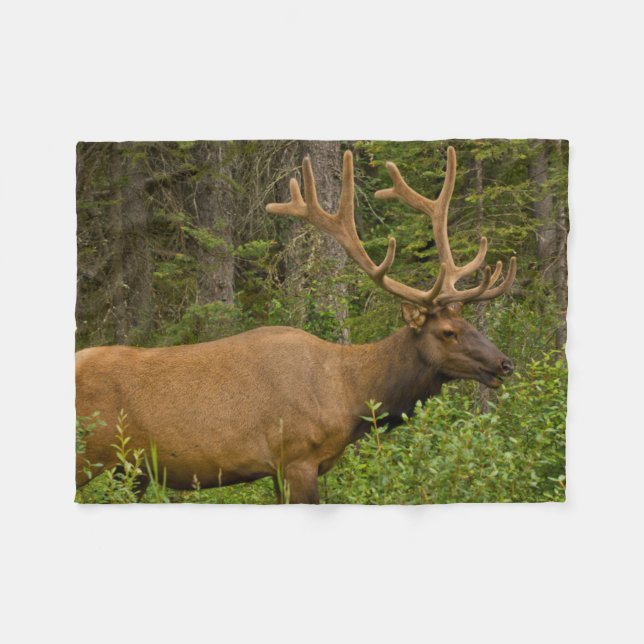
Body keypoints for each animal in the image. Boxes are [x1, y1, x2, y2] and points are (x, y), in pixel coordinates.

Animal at [75, 146, 516, 503]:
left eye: (468, 324)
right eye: (448, 332)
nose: (505, 363)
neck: (351, 395)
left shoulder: (280, 469)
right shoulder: (297, 457)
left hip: (129, 469)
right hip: (89, 454)